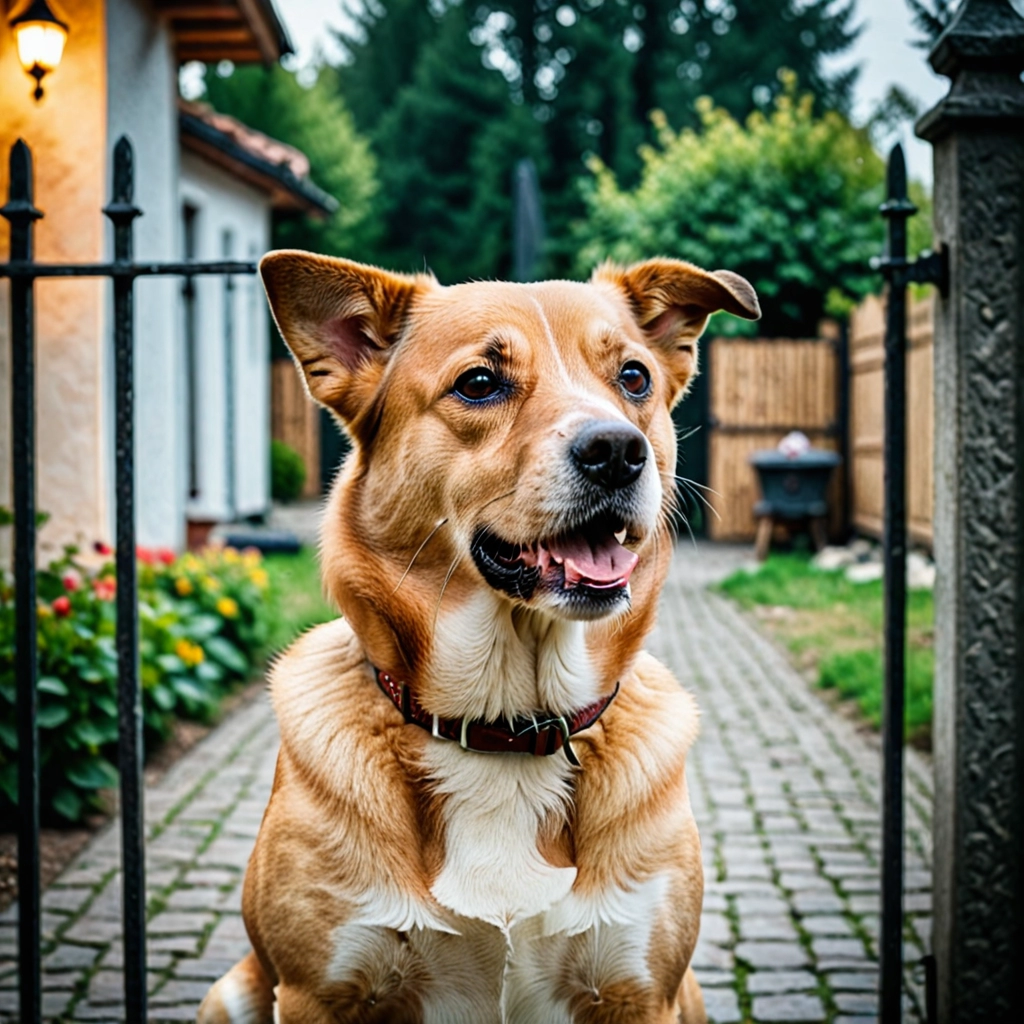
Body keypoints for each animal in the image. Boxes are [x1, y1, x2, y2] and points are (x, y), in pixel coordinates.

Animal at [197, 249, 761, 1024]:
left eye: (634, 377)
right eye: (480, 383)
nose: (618, 451)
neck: (506, 728)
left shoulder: (640, 992)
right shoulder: (320, 994)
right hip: (230, 994)